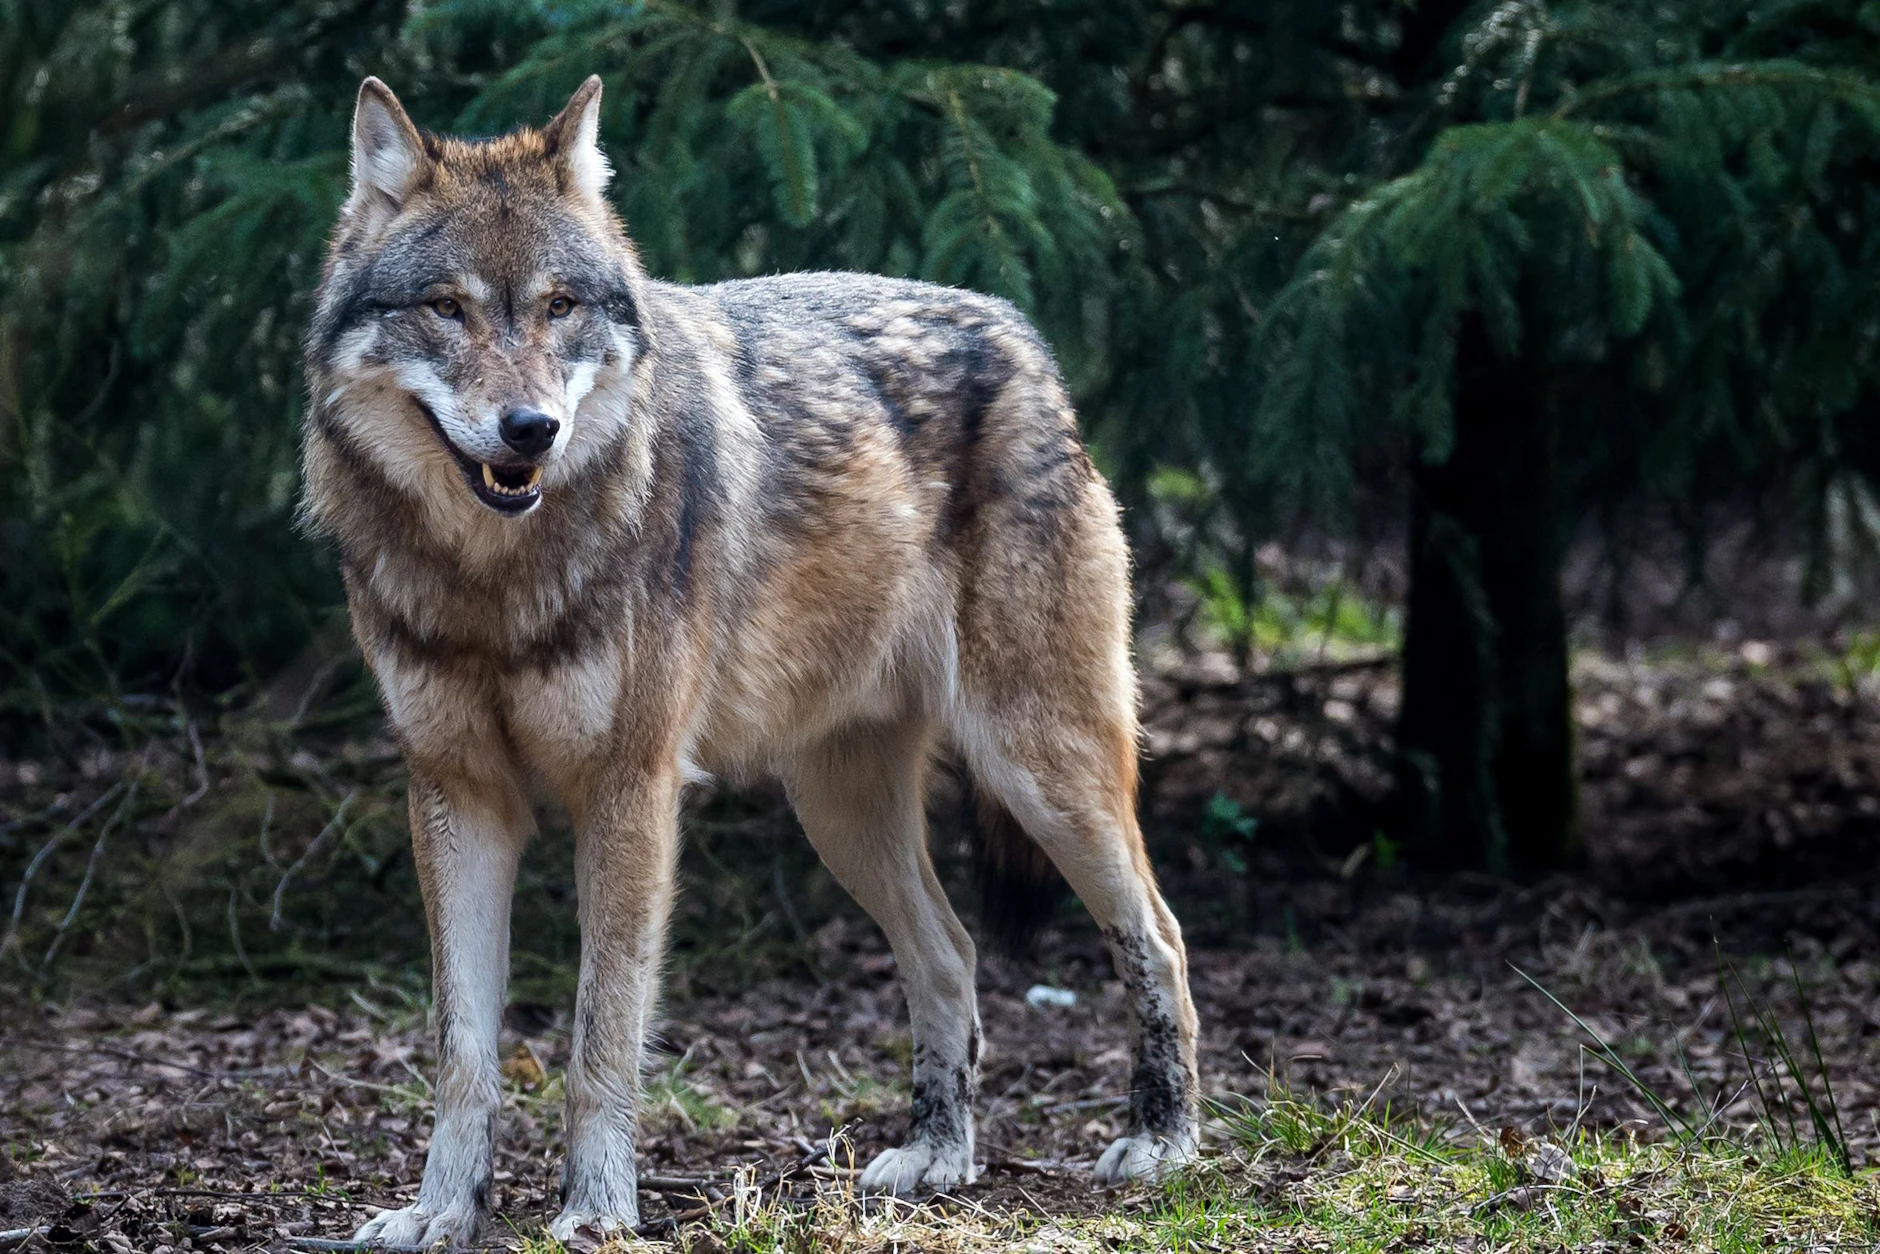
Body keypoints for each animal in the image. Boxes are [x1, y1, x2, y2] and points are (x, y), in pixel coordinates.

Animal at [300, 75, 1201, 1246]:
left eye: (558, 307)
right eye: (447, 308)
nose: (531, 429)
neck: (493, 583)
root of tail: (1018, 331)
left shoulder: (629, 792)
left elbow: (601, 1037)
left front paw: (597, 1210)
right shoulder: (458, 796)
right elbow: (462, 1052)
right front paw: (442, 1213)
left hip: (1043, 775)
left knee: (1161, 939)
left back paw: (1162, 1143)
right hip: (842, 812)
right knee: (952, 954)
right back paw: (938, 1156)